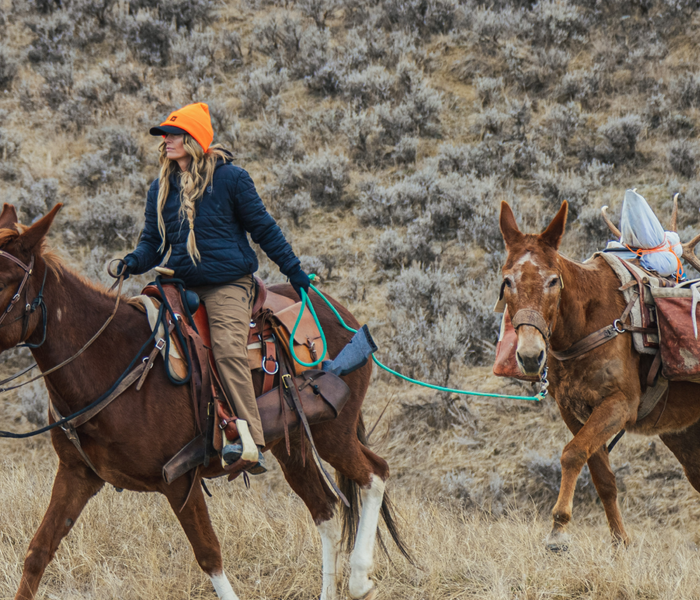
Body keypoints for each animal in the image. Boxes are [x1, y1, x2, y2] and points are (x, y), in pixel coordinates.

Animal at [0, 204, 404, 596]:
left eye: (5, 281)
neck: (114, 362)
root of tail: (343, 315)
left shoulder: (181, 481)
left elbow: (210, 557)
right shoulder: (77, 474)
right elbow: (38, 552)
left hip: (332, 431)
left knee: (375, 473)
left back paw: (360, 578)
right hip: (293, 446)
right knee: (326, 510)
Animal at [500, 200, 700, 548]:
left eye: (553, 281)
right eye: (507, 280)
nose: (529, 356)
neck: (585, 324)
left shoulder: (620, 405)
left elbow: (572, 453)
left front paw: (558, 528)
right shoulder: (572, 410)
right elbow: (601, 474)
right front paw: (621, 541)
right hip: (684, 433)